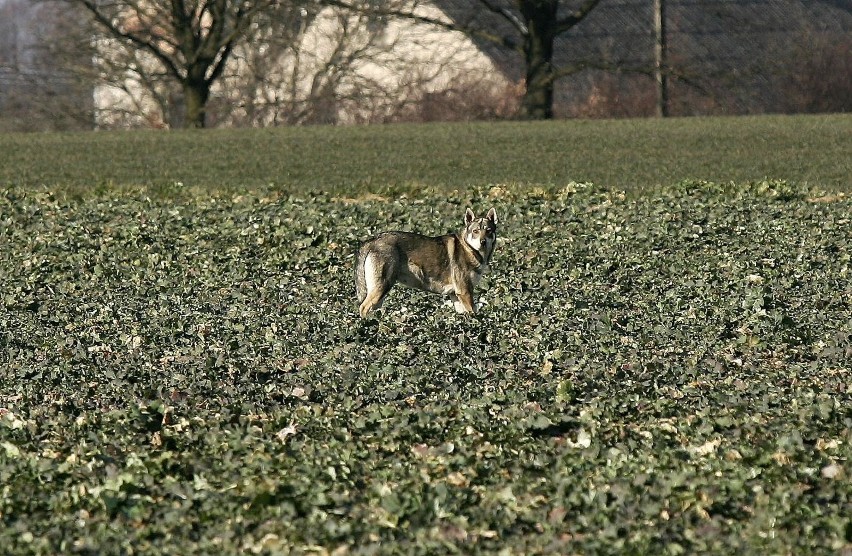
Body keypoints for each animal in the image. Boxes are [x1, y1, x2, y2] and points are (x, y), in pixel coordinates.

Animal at [354, 207, 500, 318]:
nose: (483, 242)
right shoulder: (465, 292)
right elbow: (473, 312)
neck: (470, 249)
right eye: (475, 231)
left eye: (488, 231)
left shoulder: (456, 295)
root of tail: (372, 240)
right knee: (363, 307)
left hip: (380, 293)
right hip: (382, 287)